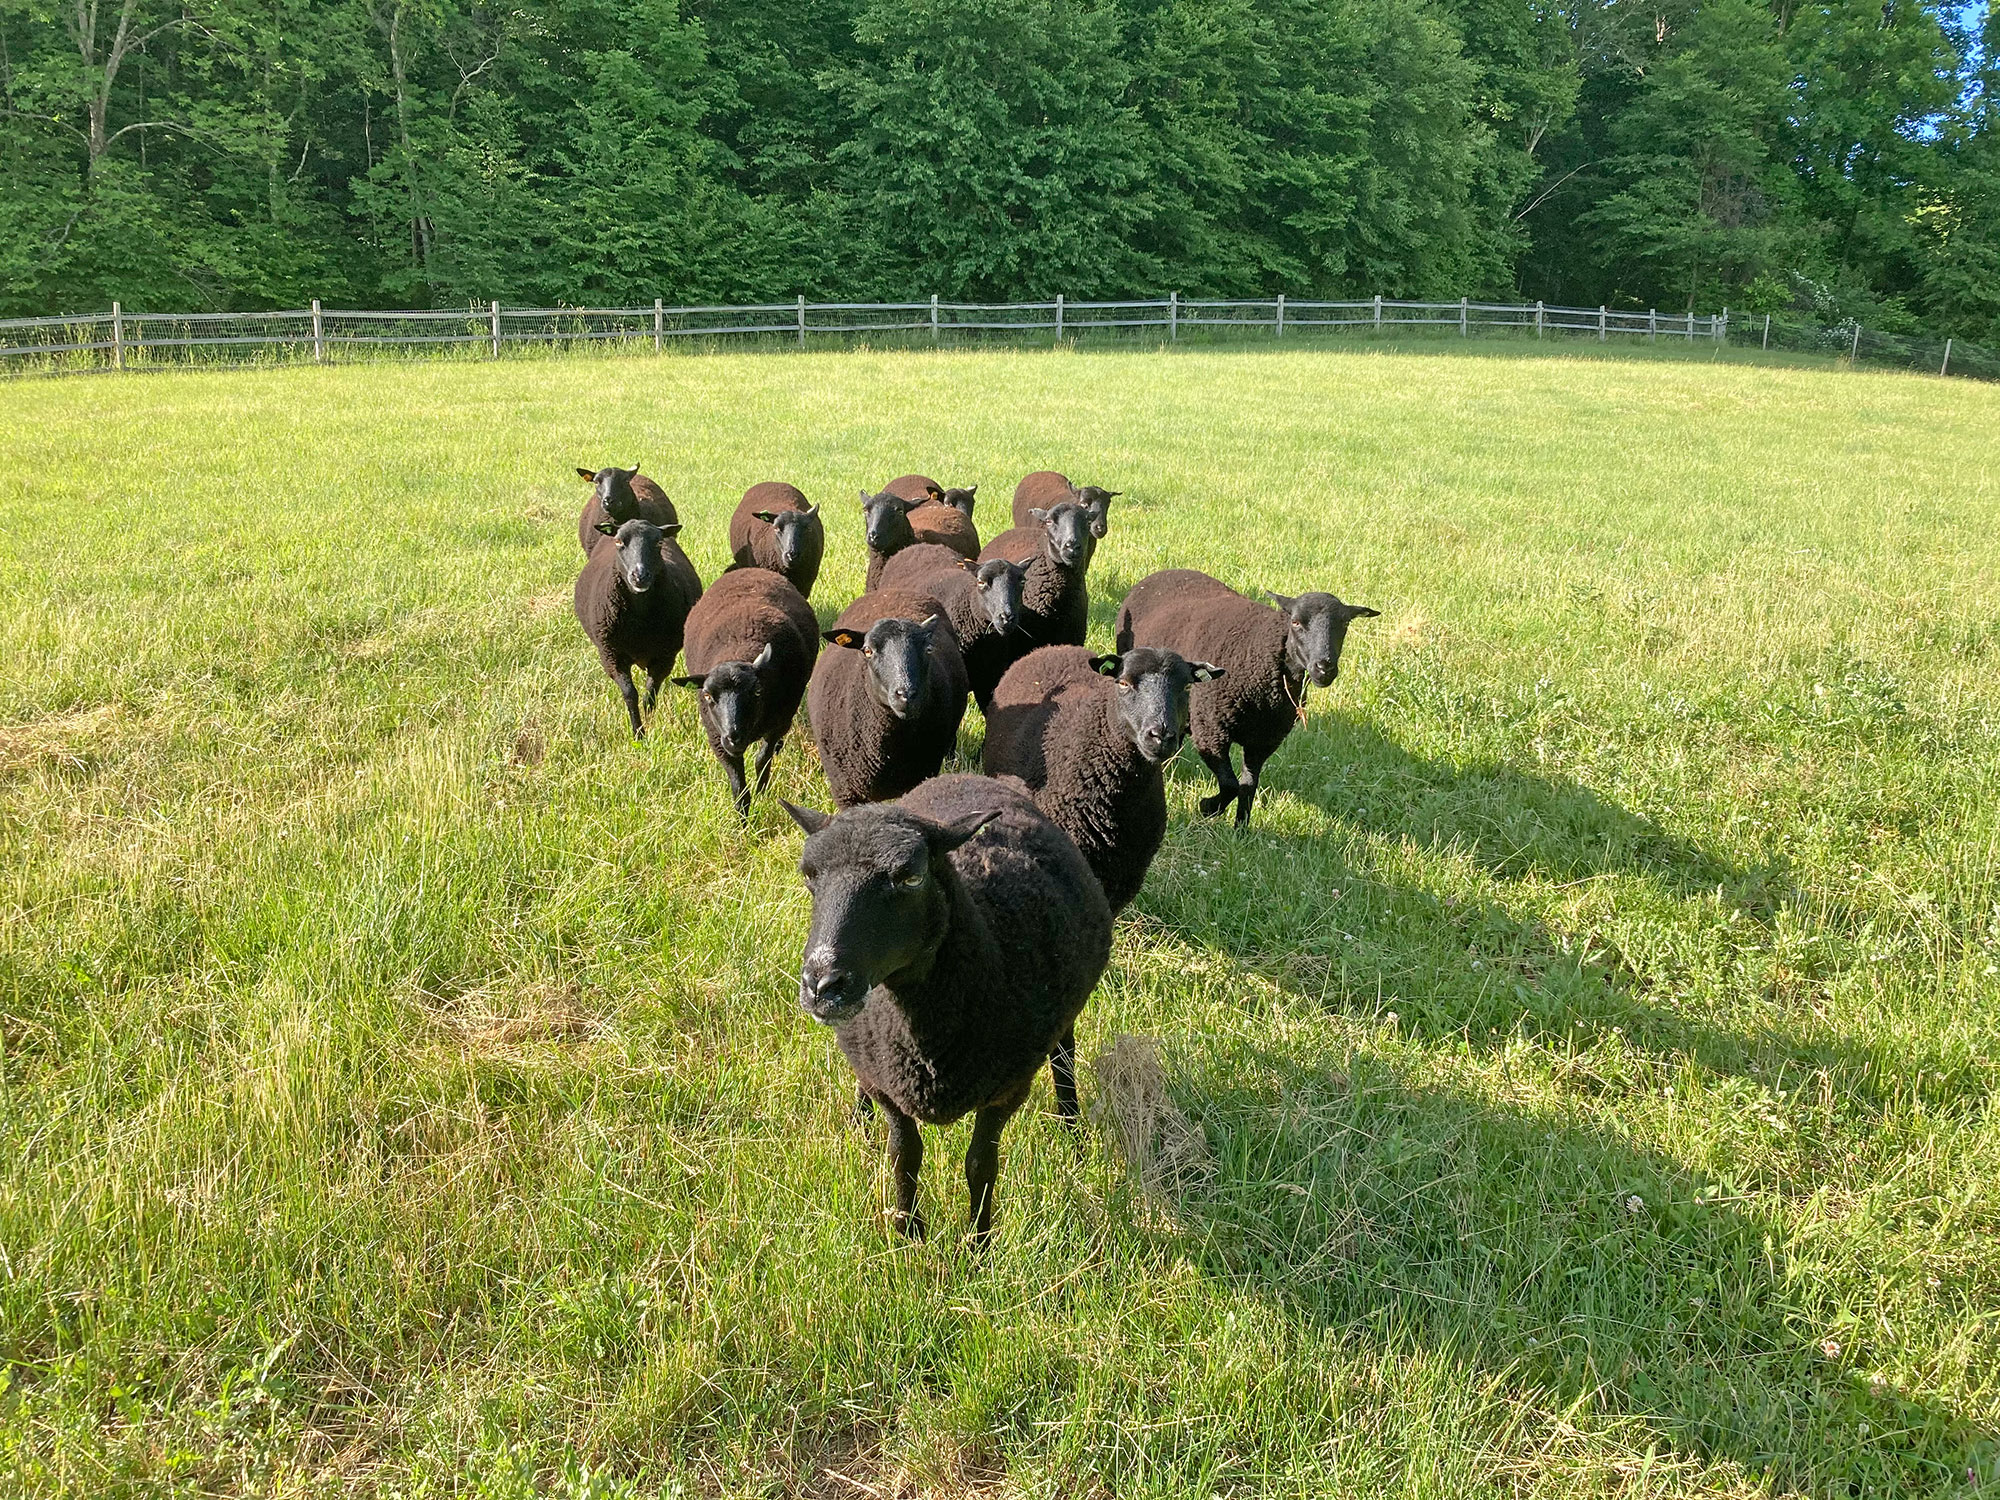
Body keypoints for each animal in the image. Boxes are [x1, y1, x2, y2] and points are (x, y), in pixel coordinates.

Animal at [573, 518, 704, 737]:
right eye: (618, 542)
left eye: (658, 543)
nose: (639, 576)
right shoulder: (611, 655)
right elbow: (630, 694)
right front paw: (638, 733)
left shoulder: (665, 656)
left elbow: (649, 695)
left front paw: (650, 726)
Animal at [672, 566, 820, 817]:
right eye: (708, 696)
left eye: (757, 692)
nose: (734, 737)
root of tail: (750, 569)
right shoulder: (717, 739)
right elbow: (738, 788)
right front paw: (743, 821)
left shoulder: (778, 722)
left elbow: (762, 759)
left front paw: (762, 791)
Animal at [783, 771, 1113, 1240]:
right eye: (810, 876)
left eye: (910, 877)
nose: (822, 985)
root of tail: (968, 776)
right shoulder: (889, 1086)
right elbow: (904, 1156)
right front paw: (908, 1236)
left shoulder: (1007, 1089)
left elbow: (981, 1166)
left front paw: (978, 1244)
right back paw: (858, 1119)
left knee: (1063, 1057)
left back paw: (1073, 1130)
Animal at [1114, 571, 1378, 826]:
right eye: (1295, 622)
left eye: (1345, 623)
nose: (1324, 668)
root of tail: (1164, 572)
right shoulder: (1211, 731)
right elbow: (1230, 784)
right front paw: (1208, 807)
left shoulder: (1263, 741)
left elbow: (1248, 786)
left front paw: (1241, 829)